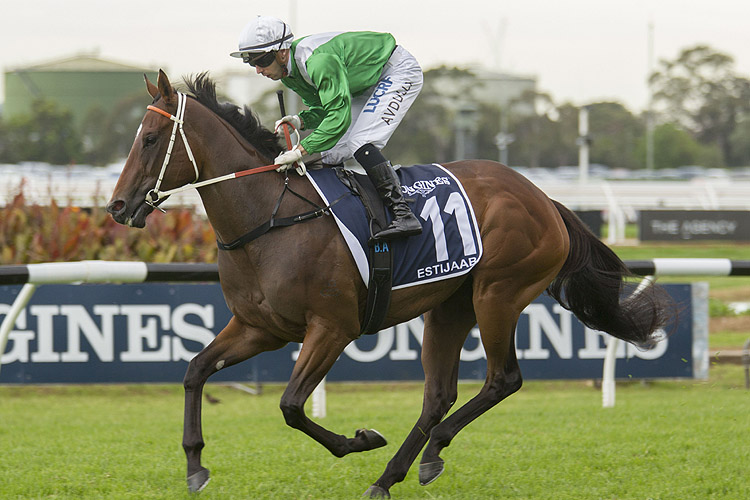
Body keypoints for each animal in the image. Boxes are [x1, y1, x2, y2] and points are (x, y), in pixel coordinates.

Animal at [107, 69, 676, 496]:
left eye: (150, 139)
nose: (117, 206)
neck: (271, 221)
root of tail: (544, 199)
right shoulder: (258, 327)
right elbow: (195, 370)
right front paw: (195, 465)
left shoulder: (332, 327)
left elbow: (291, 405)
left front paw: (360, 438)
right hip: (450, 305)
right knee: (438, 393)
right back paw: (398, 472)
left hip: (498, 294)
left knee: (502, 379)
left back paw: (425, 453)